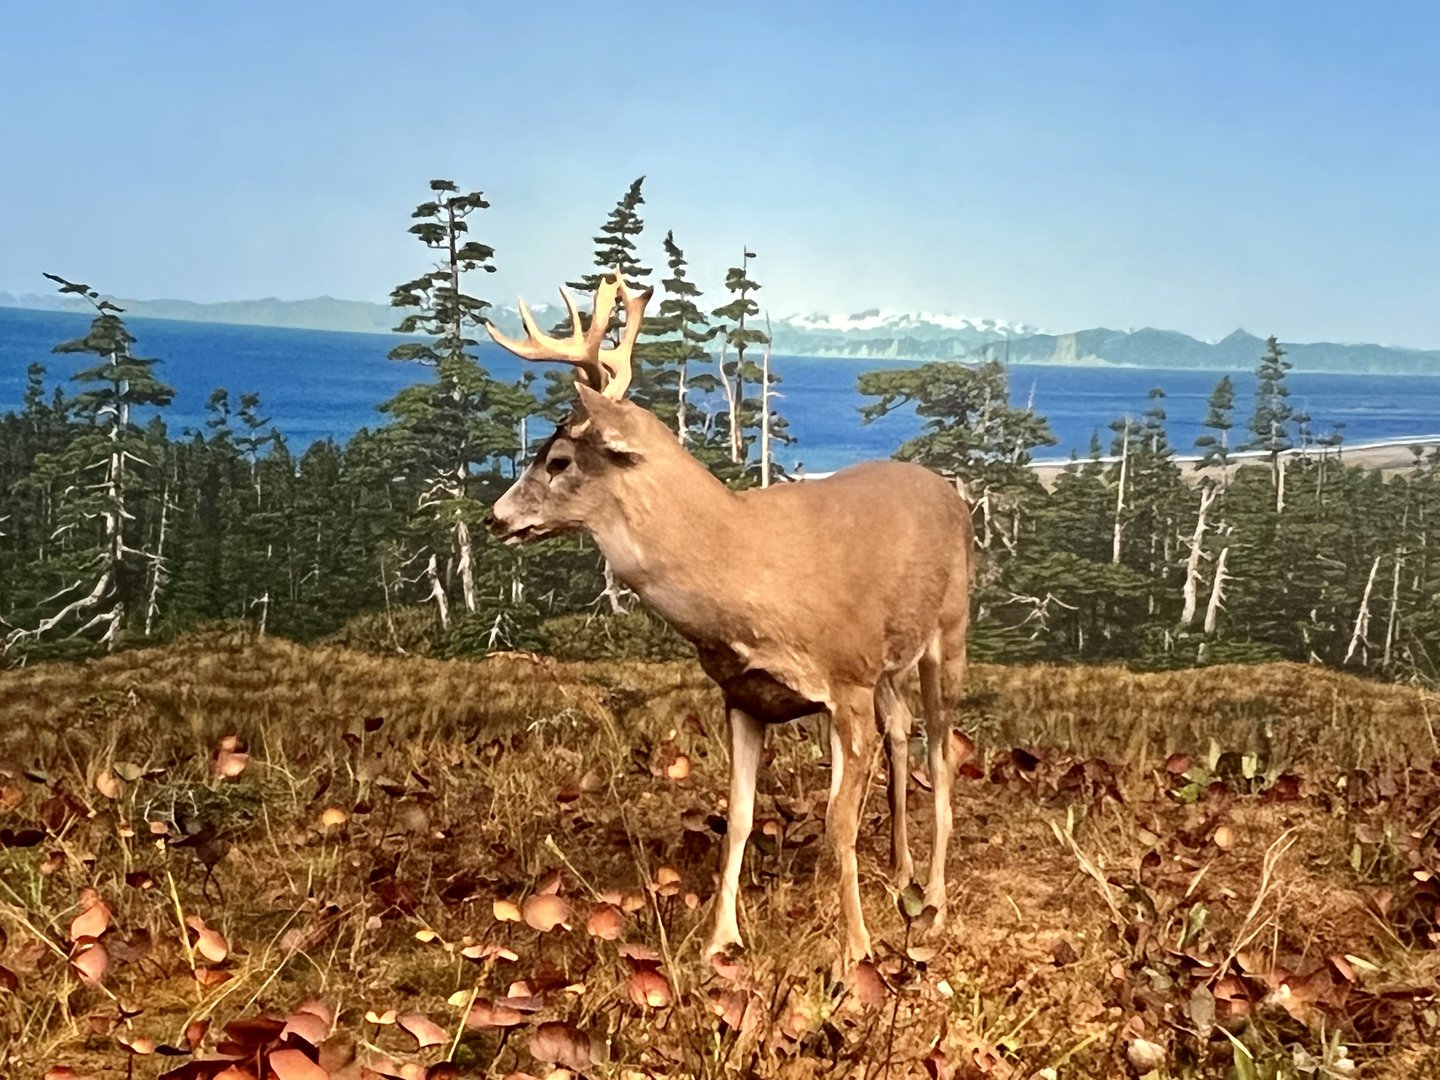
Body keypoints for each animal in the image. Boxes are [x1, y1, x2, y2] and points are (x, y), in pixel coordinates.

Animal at [483, 272, 974, 965]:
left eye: (557, 460)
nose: (494, 516)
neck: (741, 573)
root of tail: (951, 493)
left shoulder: (845, 681)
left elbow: (838, 820)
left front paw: (856, 949)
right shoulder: (744, 695)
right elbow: (739, 816)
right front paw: (721, 940)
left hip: (948, 631)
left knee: (941, 751)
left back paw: (932, 903)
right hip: (886, 664)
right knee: (902, 729)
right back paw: (901, 872)